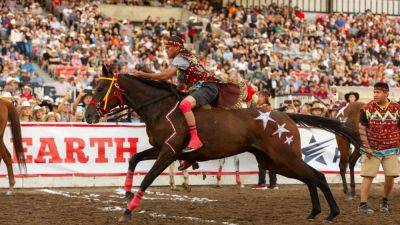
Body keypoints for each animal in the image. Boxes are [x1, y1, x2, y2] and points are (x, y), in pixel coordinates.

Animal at [86, 66, 360, 222]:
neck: (162, 108)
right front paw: (126, 189)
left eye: (99, 89)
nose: (88, 116)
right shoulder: (160, 149)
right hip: (275, 161)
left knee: (317, 176)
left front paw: (129, 209)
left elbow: (147, 179)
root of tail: (285, 115)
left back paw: (333, 212)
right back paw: (315, 211)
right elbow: (133, 158)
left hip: (284, 157)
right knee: (310, 177)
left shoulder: (169, 152)